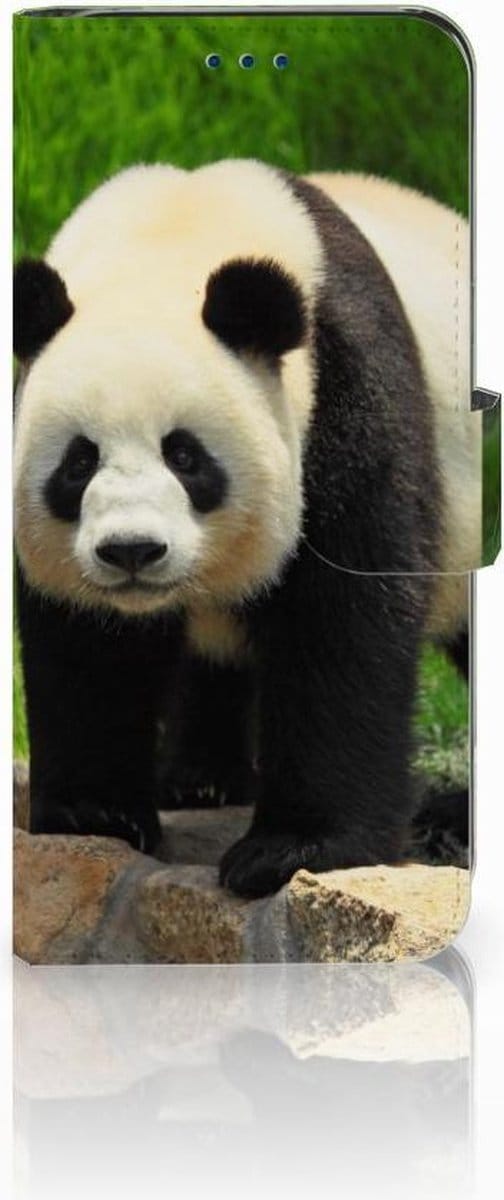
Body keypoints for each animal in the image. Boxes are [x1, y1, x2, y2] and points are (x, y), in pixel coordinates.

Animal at [13, 159, 479, 898]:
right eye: (78, 462)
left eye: (185, 455)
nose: (132, 551)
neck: (172, 235)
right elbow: (87, 644)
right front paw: (97, 813)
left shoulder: (345, 391)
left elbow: (344, 618)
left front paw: (293, 849)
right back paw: (200, 779)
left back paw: (450, 818)